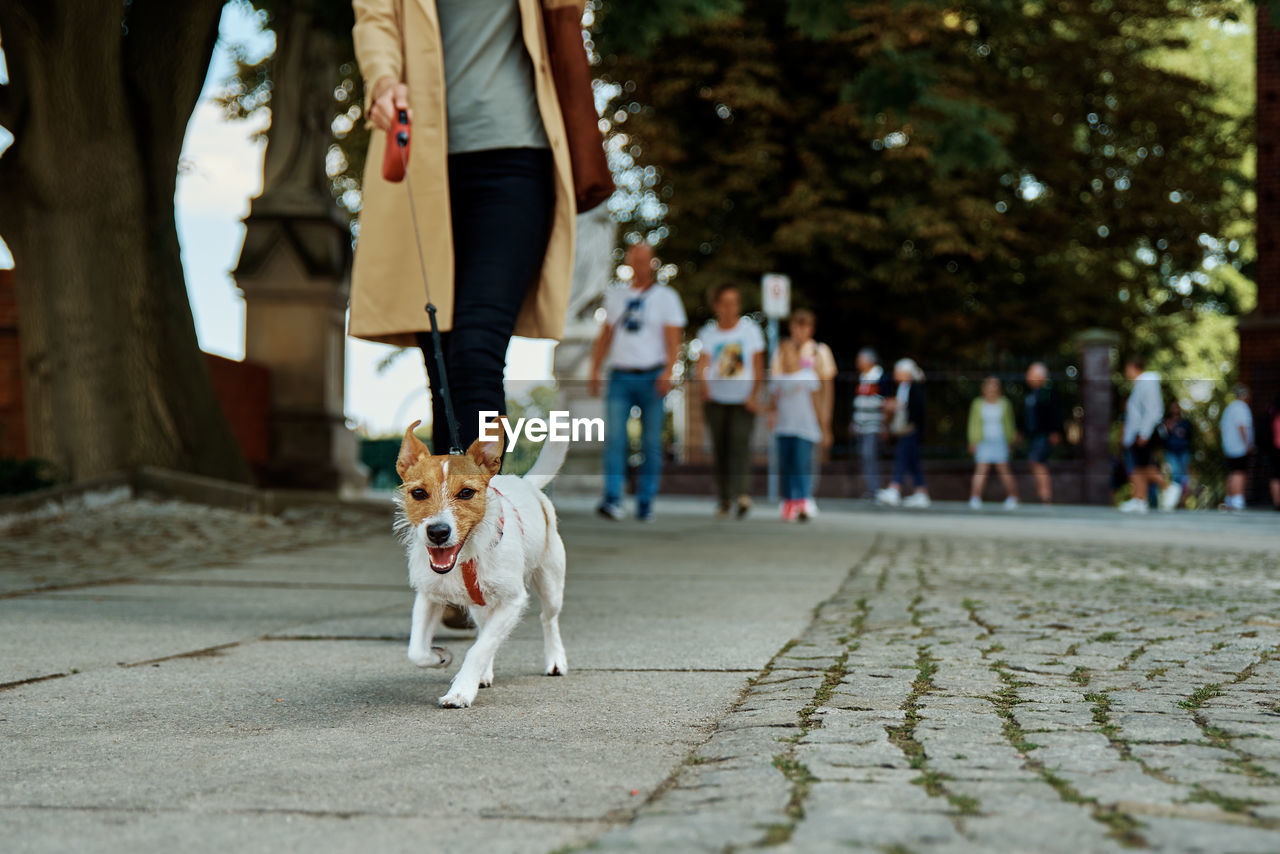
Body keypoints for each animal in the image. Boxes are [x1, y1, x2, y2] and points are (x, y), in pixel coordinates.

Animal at [391, 419, 568, 706]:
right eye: (418, 493)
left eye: (466, 493)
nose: (437, 532)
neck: (465, 559)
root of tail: (526, 484)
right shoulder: (429, 597)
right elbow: (416, 651)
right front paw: (440, 657)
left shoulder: (512, 601)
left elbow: (479, 649)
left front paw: (460, 691)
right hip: (478, 607)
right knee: (485, 630)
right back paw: (484, 674)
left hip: (551, 584)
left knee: (547, 619)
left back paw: (555, 659)